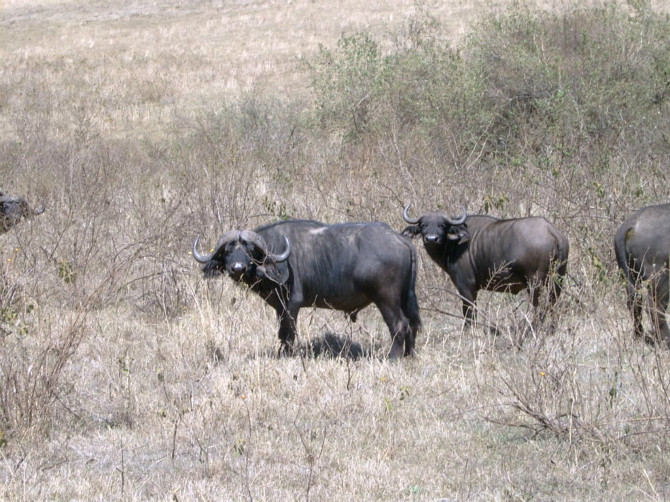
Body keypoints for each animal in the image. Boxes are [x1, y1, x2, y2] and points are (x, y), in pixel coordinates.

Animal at [193, 220, 420, 356]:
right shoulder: (279, 307)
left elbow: (288, 333)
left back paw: (393, 358)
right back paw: (409, 355)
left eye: (249, 251)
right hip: (405, 298)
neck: (275, 259)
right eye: (228, 250)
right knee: (412, 324)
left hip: (386, 299)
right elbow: (281, 334)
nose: (237, 268)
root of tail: (400, 239)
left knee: (399, 325)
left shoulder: (291, 305)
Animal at [402, 204, 568, 330]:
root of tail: (551, 230)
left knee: (538, 307)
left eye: (442, 225)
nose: (431, 239)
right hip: (557, 282)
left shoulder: (466, 287)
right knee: (553, 304)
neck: (455, 244)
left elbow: (468, 312)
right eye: (423, 225)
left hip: (535, 284)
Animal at [616, 204, 668, 346]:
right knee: (654, 308)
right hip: (661, 277)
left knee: (634, 302)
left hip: (629, 275)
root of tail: (633, 222)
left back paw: (639, 336)